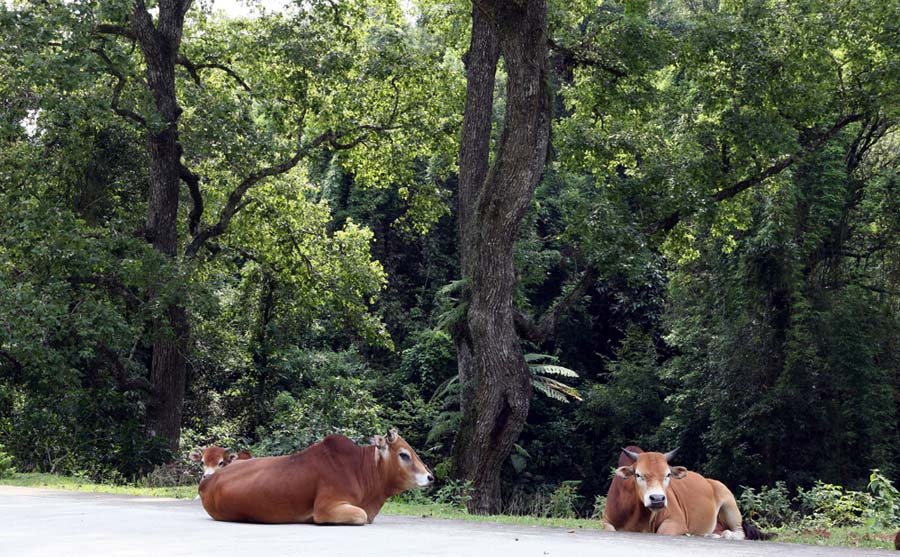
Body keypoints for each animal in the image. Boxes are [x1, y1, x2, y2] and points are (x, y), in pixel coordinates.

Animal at [600, 448, 768, 540]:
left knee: (740, 531)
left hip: (730, 505)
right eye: (638, 475)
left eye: (667, 475)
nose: (657, 499)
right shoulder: (607, 522)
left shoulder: (676, 521)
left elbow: (663, 531)